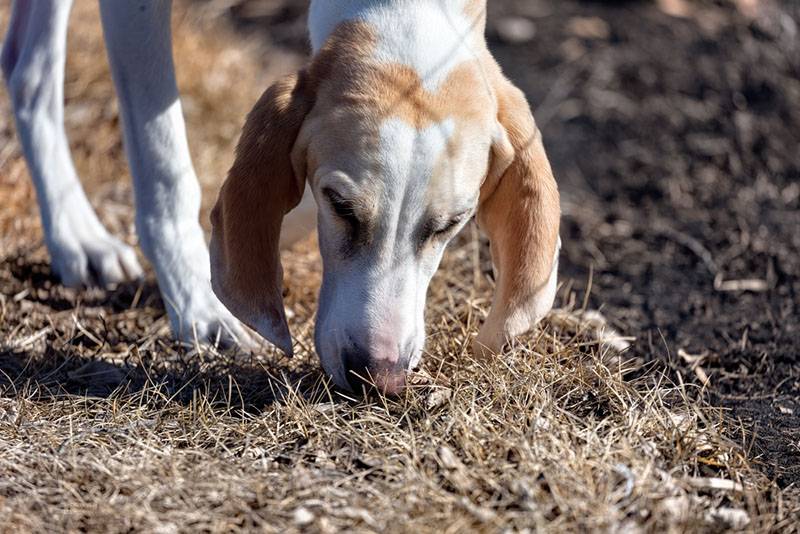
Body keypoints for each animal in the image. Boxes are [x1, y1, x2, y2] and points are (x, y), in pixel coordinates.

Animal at [3, 0, 560, 394]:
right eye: (341, 205)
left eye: (449, 225)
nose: (378, 378)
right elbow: (166, 168)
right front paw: (199, 303)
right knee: (35, 68)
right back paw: (77, 234)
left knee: (23, 67)